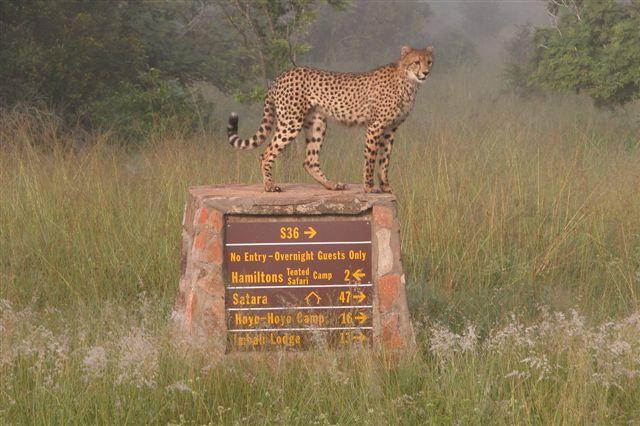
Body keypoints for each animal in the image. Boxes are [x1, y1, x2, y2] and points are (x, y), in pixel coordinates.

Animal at [228, 44, 432, 192]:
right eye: (416, 62)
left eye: (429, 62)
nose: (426, 73)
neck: (408, 81)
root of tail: (281, 75)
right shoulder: (376, 126)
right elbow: (370, 159)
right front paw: (369, 187)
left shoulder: (390, 129)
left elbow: (384, 161)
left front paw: (386, 187)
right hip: (291, 122)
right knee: (266, 153)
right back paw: (269, 186)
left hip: (317, 123)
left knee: (309, 160)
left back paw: (332, 185)